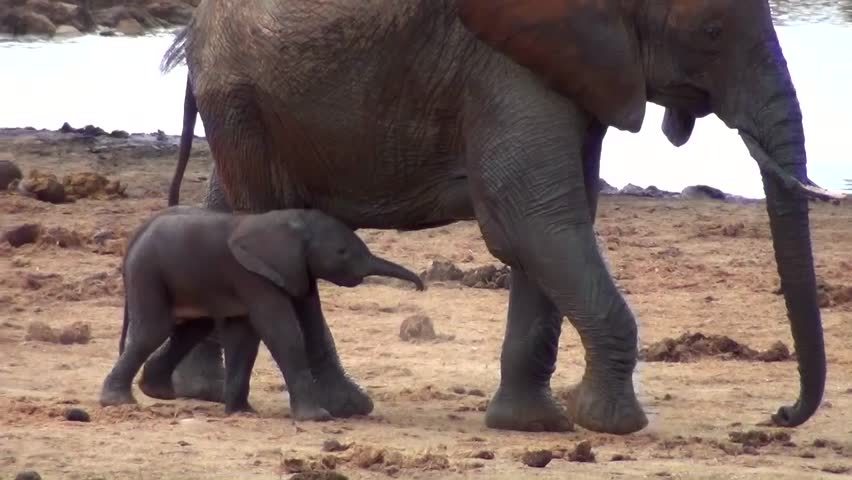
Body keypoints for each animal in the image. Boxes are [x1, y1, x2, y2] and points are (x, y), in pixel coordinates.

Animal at [99, 205, 425, 419]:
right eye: (342, 253)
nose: (420, 288)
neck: (292, 222)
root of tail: (136, 235)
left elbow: (245, 337)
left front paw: (241, 412)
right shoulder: (254, 276)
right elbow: (280, 331)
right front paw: (317, 418)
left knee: (191, 328)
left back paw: (157, 391)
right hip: (148, 272)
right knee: (154, 329)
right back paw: (118, 402)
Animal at [158, 0, 845, 434]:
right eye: (711, 31)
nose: (781, 415)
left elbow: (556, 221)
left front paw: (531, 425)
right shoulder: (507, 64)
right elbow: (533, 220)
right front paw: (606, 423)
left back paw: (197, 391)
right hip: (243, 96)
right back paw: (339, 407)